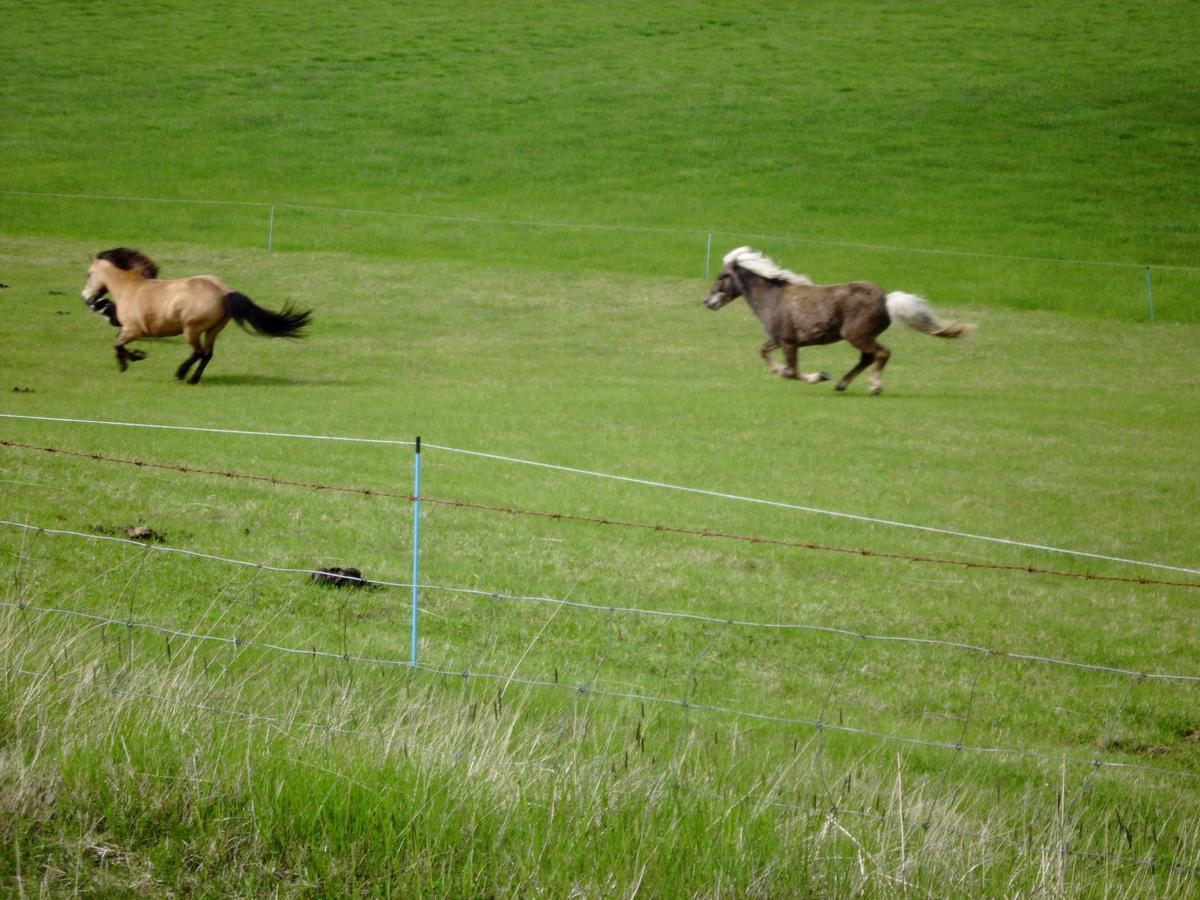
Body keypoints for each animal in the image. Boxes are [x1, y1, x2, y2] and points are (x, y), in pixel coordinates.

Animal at [80, 248, 312, 386]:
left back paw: (180, 374)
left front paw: (131, 359)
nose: (86, 298)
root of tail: (224, 292)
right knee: (207, 354)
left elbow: (117, 344)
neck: (131, 288)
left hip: (191, 330)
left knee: (198, 352)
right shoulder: (128, 330)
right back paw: (193, 379)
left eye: (89, 274)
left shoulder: (133, 330)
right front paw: (132, 358)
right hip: (213, 330)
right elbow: (118, 343)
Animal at [700, 247, 974, 393]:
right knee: (868, 358)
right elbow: (765, 353)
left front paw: (819, 376)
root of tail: (886, 299)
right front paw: (780, 370)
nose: (708, 302)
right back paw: (842, 384)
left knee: (881, 354)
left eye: (723, 276)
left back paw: (873, 386)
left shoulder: (788, 342)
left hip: (856, 335)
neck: (774, 298)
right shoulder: (778, 339)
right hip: (861, 337)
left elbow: (795, 371)